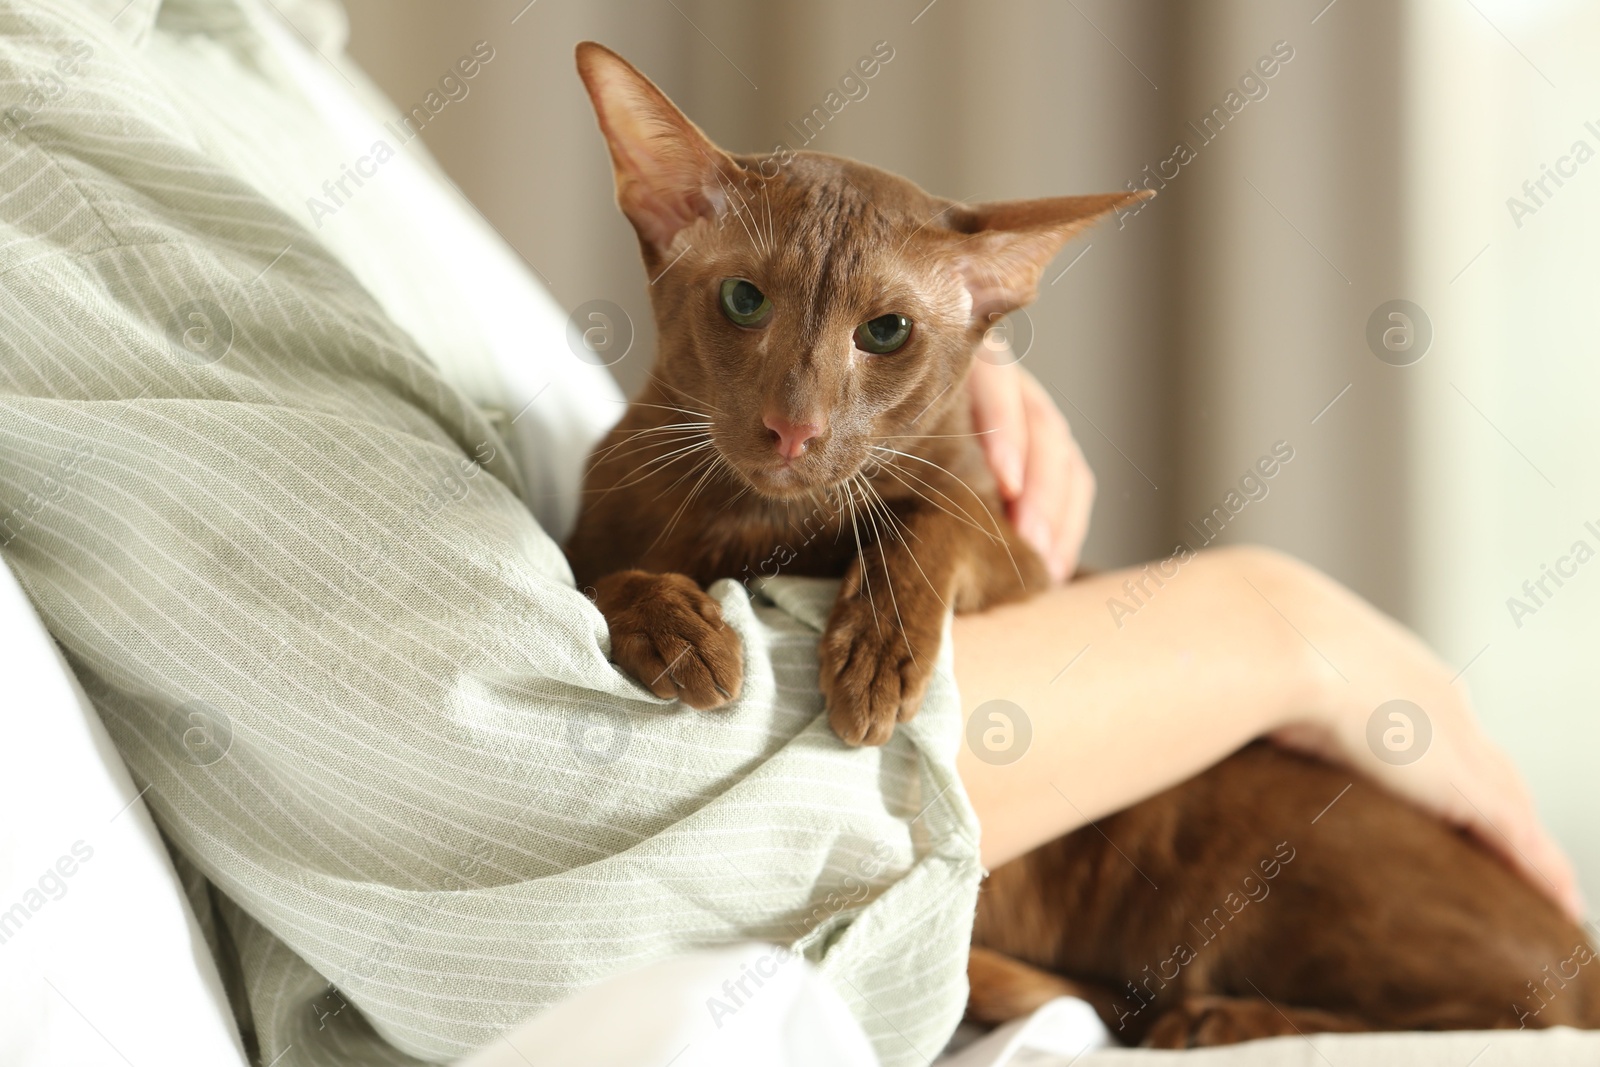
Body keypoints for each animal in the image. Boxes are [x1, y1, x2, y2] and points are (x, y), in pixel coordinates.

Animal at [563, 43, 1600, 1049]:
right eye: (744, 301)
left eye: (886, 332)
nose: (793, 429)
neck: (756, 527)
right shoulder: (592, 532)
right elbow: (598, 581)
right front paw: (681, 631)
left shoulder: (1025, 561)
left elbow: (937, 511)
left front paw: (876, 656)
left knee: (1519, 1011)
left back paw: (1217, 1017)